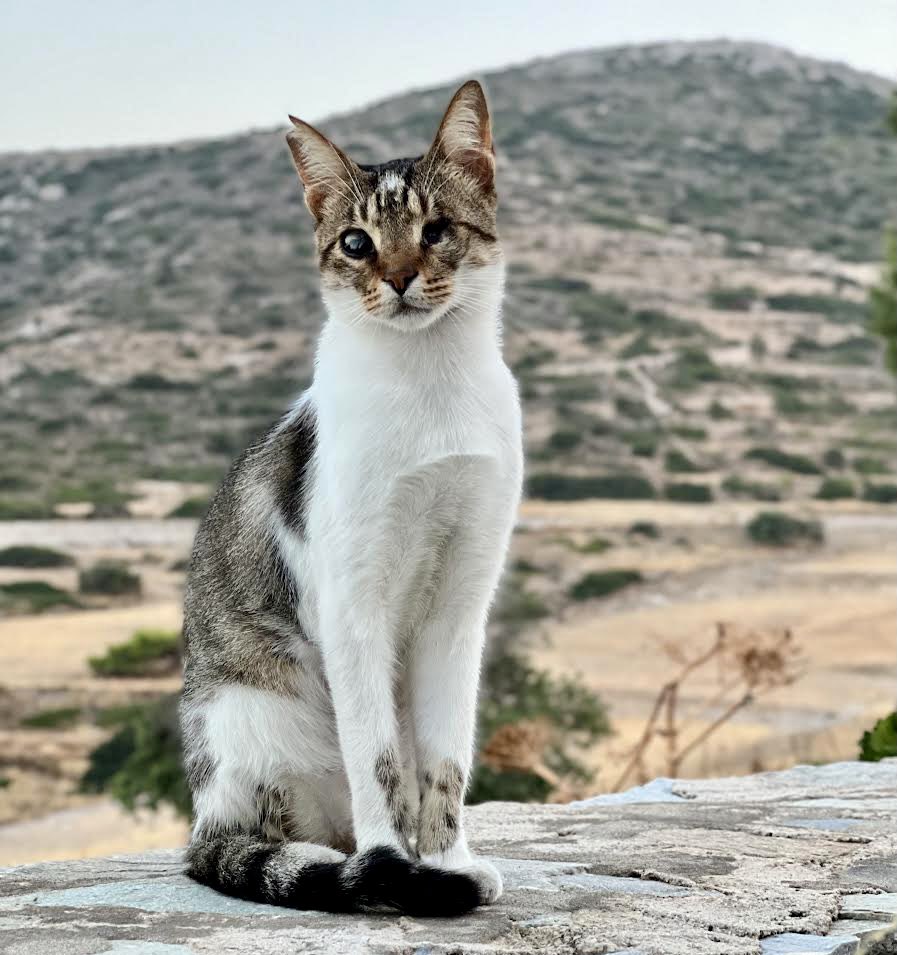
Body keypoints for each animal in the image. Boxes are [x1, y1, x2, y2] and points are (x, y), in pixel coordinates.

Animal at [178, 82, 520, 920]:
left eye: (436, 230)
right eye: (357, 243)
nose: (396, 278)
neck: (430, 383)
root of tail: (202, 818)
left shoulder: (460, 605)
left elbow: (442, 762)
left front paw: (447, 861)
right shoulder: (353, 602)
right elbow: (381, 762)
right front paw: (396, 869)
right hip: (259, 717)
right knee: (278, 836)